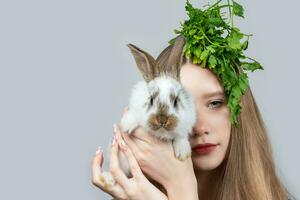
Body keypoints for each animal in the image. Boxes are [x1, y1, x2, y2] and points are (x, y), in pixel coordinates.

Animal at [102, 35, 198, 188]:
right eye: (151, 99)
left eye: (176, 101)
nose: (162, 120)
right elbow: (134, 114)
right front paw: (127, 125)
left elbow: (180, 135)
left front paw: (183, 152)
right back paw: (108, 179)